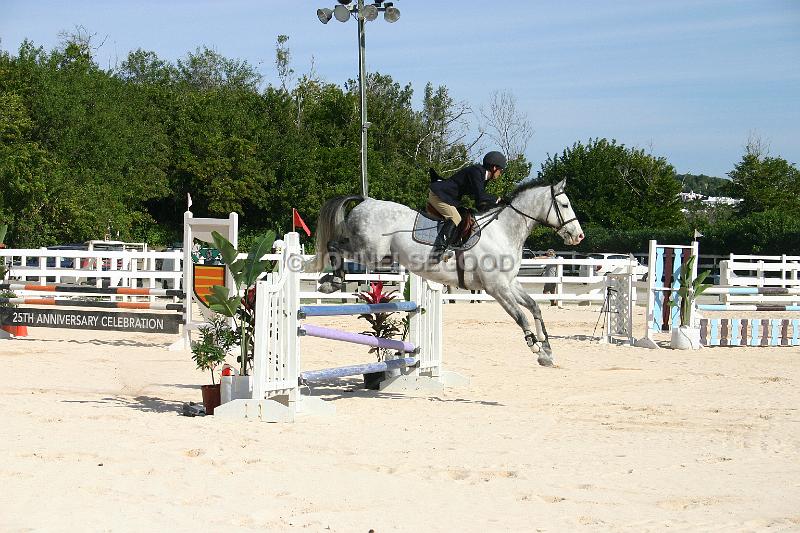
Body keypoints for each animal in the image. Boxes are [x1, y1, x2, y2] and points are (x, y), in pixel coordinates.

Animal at [310, 179, 584, 366]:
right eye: (564, 204)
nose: (578, 236)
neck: (503, 232)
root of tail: (367, 201)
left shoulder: (509, 283)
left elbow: (535, 307)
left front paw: (547, 349)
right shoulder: (496, 287)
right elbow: (520, 317)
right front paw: (536, 349)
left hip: (376, 253)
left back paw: (329, 281)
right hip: (369, 251)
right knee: (333, 245)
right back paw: (331, 282)